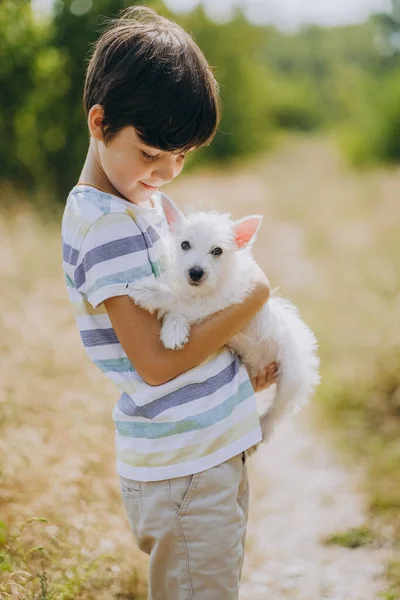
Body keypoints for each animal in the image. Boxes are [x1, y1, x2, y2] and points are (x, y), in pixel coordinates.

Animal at [129, 195, 322, 448]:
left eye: (217, 251)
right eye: (185, 245)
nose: (195, 273)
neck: (206, 291)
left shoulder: (223, 303)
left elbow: (179, 301)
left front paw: (149, 292)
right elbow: (179, 307)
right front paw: (173, 330)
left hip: (292, 376)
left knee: (279, 411)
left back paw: (263, 429)